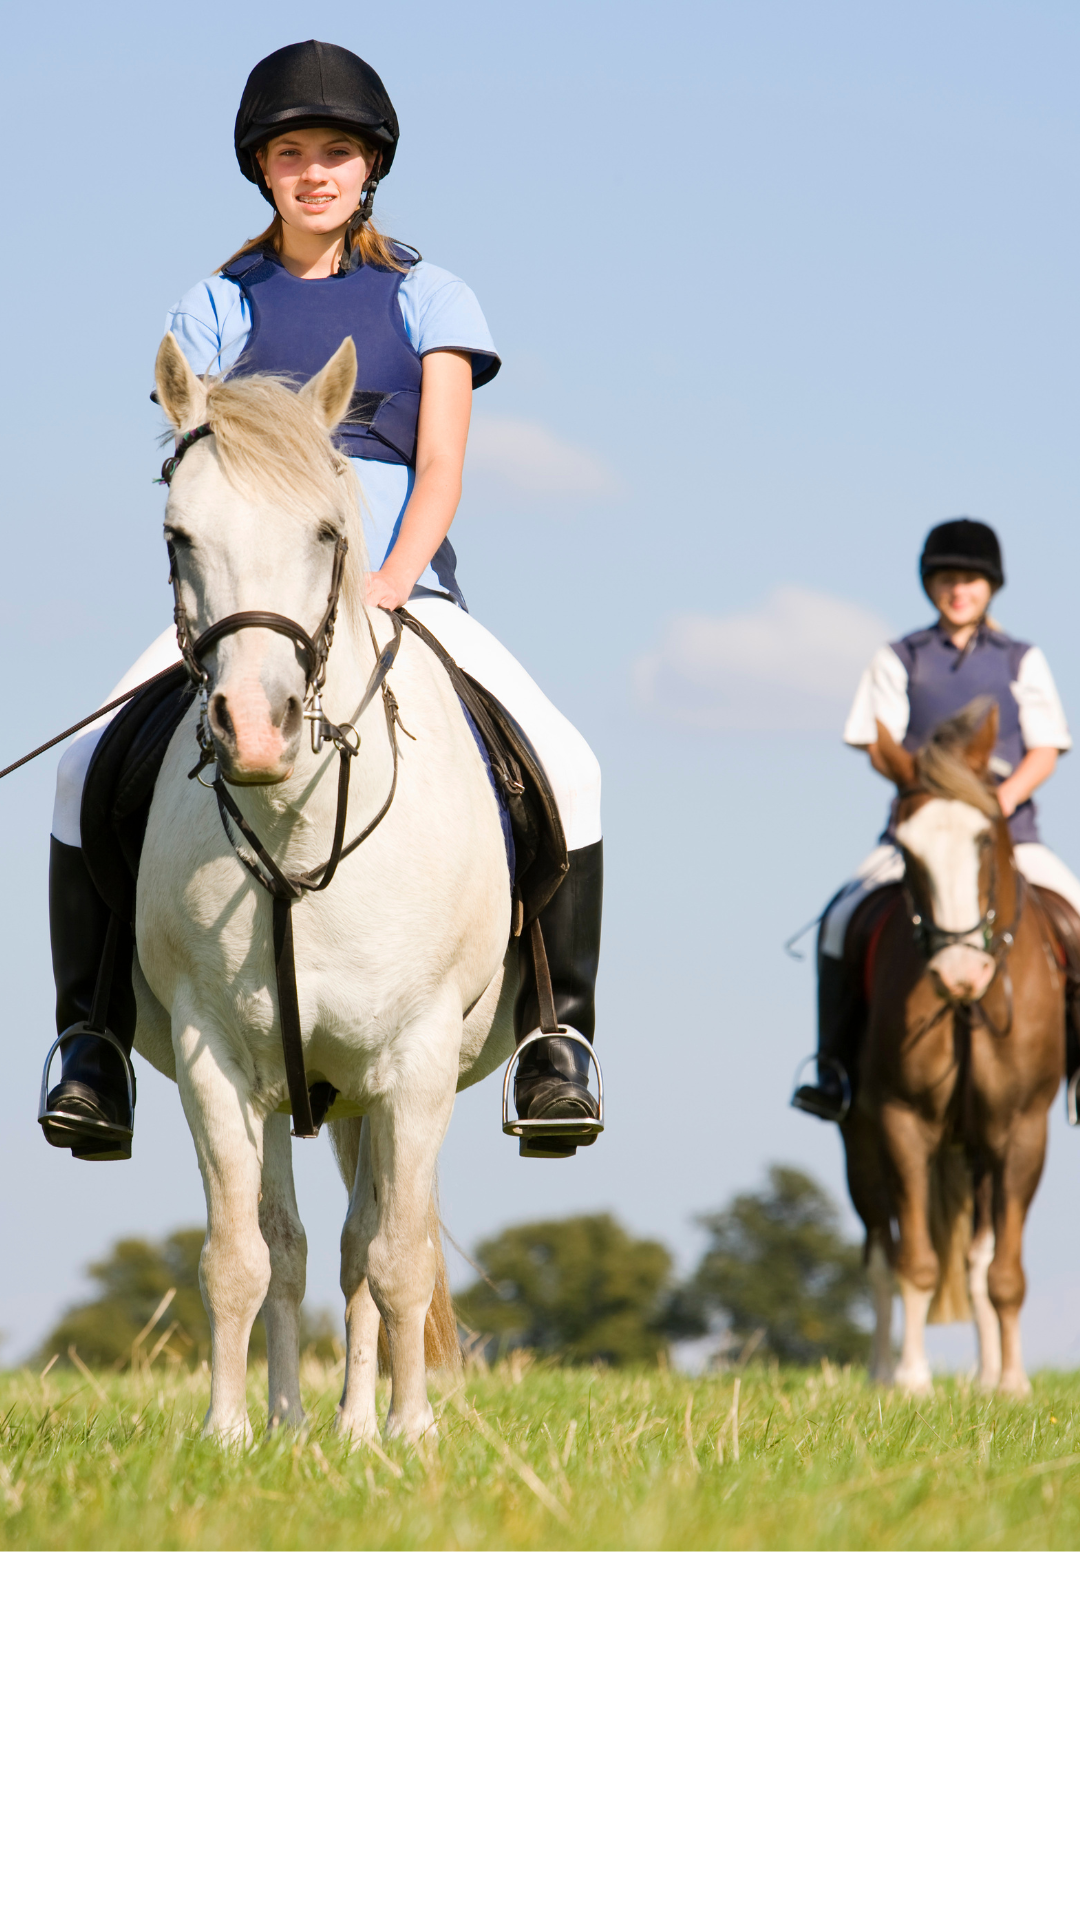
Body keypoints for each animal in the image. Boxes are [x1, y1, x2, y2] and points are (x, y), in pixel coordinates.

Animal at [136, 334, 515, 1443]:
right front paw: (225, 1437)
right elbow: (240, 1257)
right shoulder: (215, 1059)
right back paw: (297, 1424)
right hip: (303, 1092)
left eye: (325, 531)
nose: (256, 731)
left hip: (371, 1091)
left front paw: (412, 1433)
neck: (298, 831)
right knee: (300, 1246)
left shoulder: (416, 1064)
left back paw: (356, 1426)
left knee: (364, 1247)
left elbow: (397, 1258)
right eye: (179, 536)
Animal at [841, 698, 1060, 1390]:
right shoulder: (900, 1122)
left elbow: (1002, 1271)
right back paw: (882, 1370)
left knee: (977, 1255)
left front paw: (1012, 1384)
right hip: (861, 1144)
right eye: (907, 850)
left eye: (985, 837)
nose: (960, 972)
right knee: (881, 1253)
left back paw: (990, 1373)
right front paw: (912, 1380)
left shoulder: (1022, 1130)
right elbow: (913, 1261)